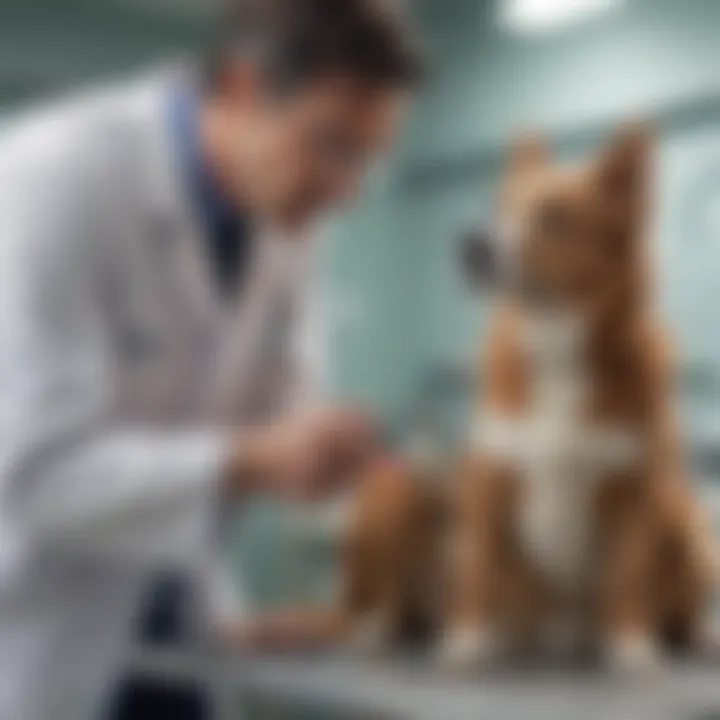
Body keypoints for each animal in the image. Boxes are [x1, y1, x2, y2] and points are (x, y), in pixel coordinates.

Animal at [438, 125, 716, 676]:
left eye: (555, 215)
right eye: (499, 206)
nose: (472, 246)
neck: (556, 344)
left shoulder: (636, 488)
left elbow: (628, 575)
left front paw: (631, 646)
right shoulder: (487, 480)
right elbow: (477, 569)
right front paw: (468, 640)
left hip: (684, 514)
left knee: (685, 605)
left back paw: (696, 636)